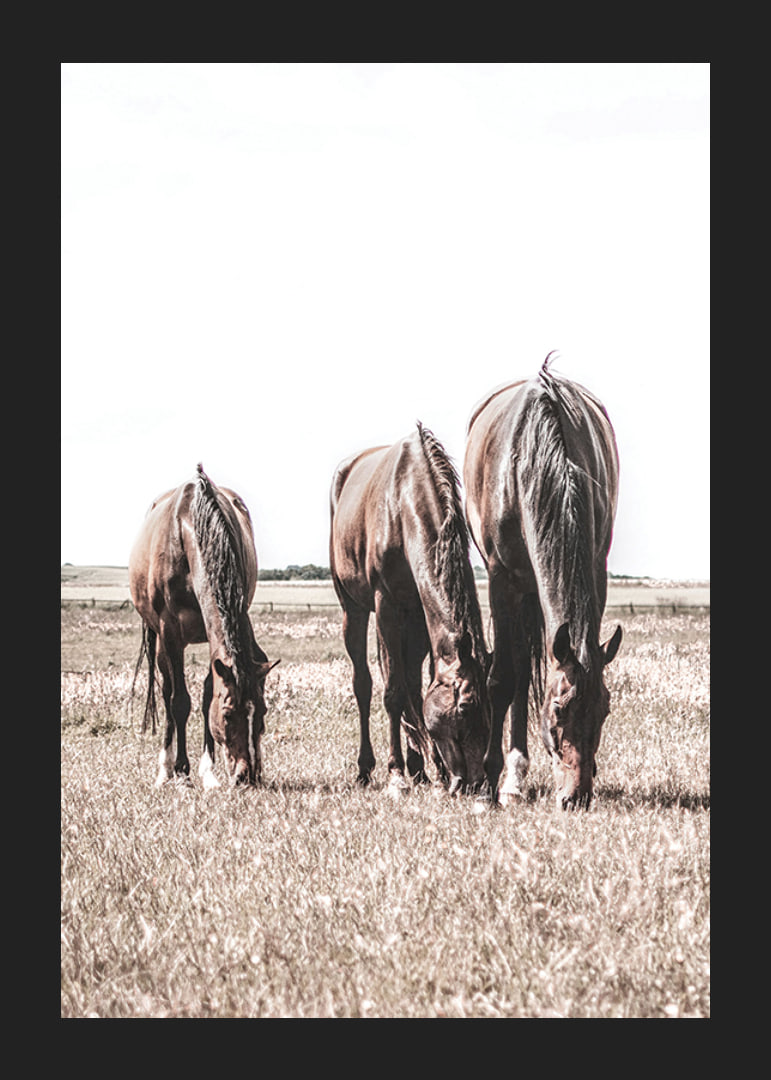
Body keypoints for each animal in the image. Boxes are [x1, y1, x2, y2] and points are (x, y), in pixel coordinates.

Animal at [129, 464, 279, 788]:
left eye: (263, 711)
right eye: (228, 715)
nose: (247, 776)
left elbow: (207, 695)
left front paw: (208, 771)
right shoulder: (170, 632)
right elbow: (179, 701)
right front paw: (182, 770)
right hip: (160, 642)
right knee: (167, 692)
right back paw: (166, 769)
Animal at [329, 422, 490, 795]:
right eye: (463, 713)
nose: (474, 785)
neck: (403, 505)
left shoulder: (419, 614)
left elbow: (417, 690)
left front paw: (432, 770)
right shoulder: (386, 605)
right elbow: (392, 692)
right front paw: (396, 774)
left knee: (411, 686)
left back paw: (419, 768)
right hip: (353, 609)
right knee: (365, 684)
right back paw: (368, 768)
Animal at [463, 354, 622, 809]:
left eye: (605, 709)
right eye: (557, 710)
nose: (576, 797)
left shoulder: (596, 570)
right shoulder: (501, 579)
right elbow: (503, 678)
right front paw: (488, 785)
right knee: (517, 669)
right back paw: (510, 780)